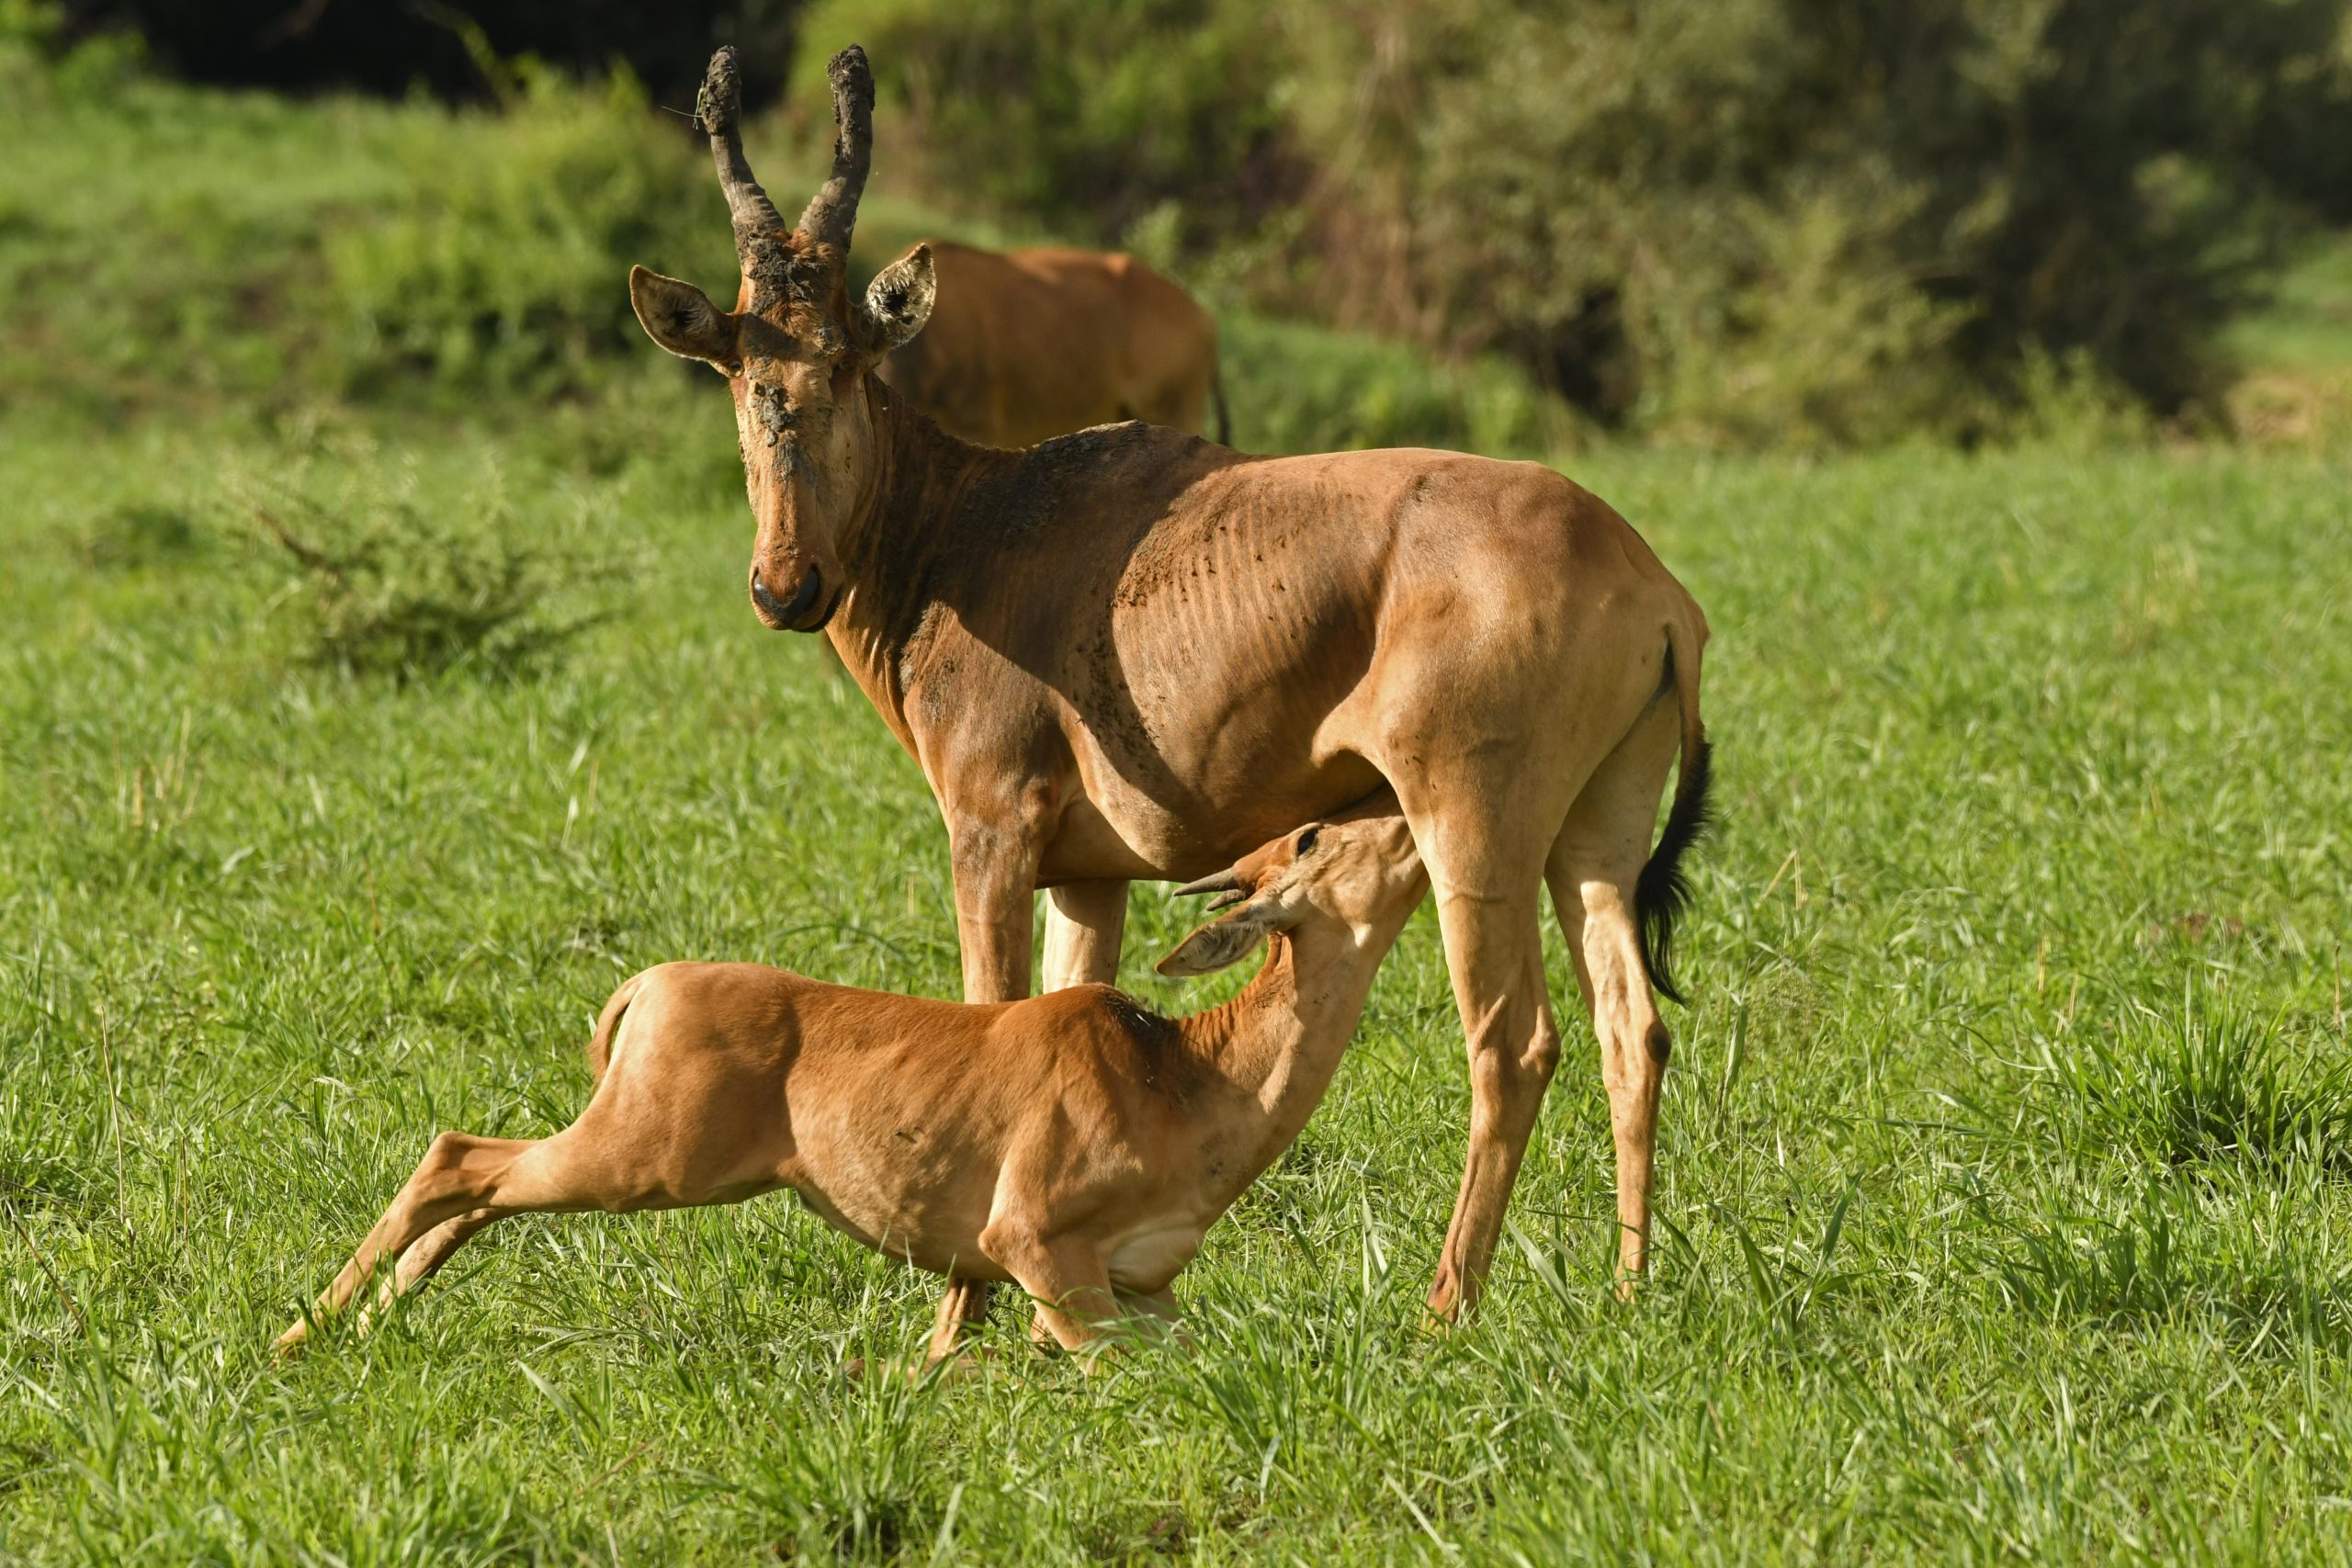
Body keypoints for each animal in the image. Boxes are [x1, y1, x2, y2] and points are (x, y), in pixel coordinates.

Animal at [269, 808, 1420, 1363]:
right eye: (1312, 833)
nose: (1410, 821)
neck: (1179, 1068)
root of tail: (649, 986)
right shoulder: (1035, 1245)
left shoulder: (1146, 1285)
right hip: (645, 1160)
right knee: (457, 1155)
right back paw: (296, 1338)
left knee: (481, 1185)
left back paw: (360, 1329)